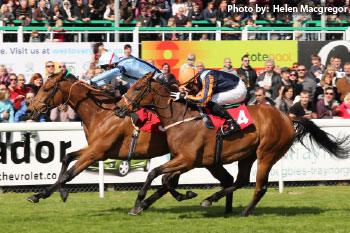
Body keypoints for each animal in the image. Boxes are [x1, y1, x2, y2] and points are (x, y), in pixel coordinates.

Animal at [26, 73, 235, 213]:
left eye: (46, 88)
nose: (29, 111)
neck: (101, 114)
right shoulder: (96, 150)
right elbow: (66, 157)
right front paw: (61, 192)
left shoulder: (96, 152)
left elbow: (68, 173)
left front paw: (39, 195)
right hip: (197, 158)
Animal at [115, 73, 350, 217]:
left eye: (137, 87)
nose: (117, 108)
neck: (181, 120)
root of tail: (287, 117)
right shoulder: (184, 160)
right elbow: (165, 180)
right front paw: (185, 195)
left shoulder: (187, 160)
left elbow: (154, 173)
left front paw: (138, 203)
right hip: (247, 155)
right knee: (241, 180)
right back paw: (212, 199)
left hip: (267, 154)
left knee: (259, 187)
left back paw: (243, 212)